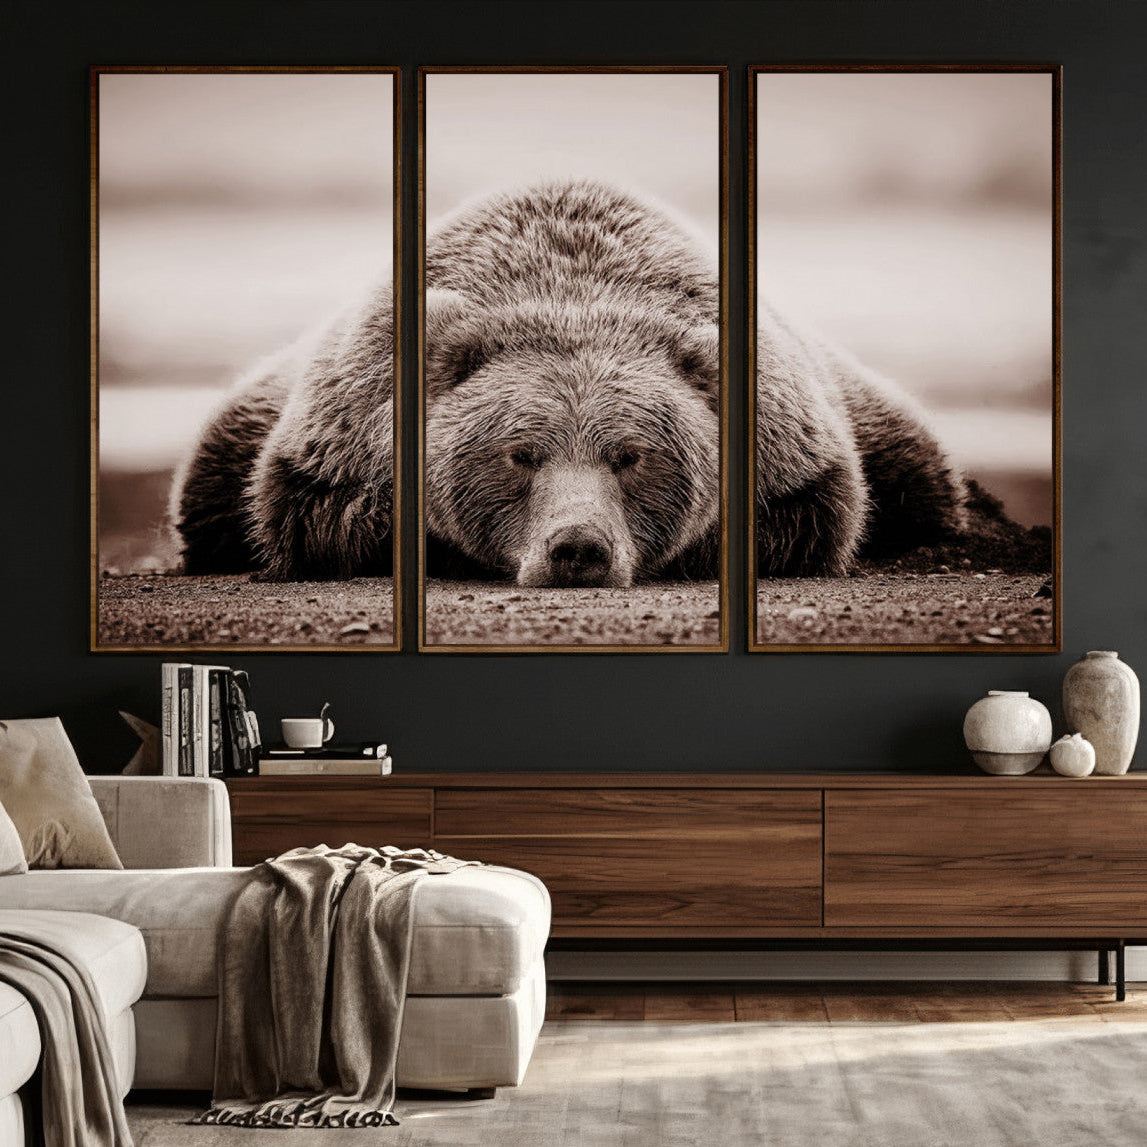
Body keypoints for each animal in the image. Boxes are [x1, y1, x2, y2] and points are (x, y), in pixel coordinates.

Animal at [171, 178, 967, 586]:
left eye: (632, 455)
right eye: (520, 452)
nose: (578, 548)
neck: (571, 292)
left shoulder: (791, 448)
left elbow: (810, 515)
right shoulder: (345, 429)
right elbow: (315, 513)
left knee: (919, 470)